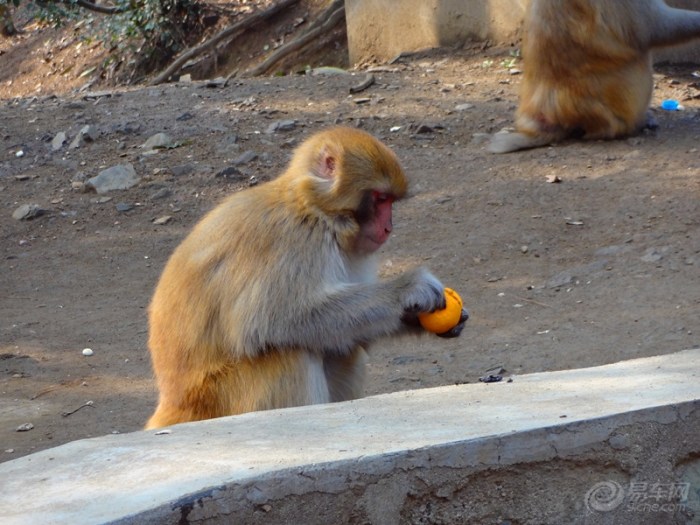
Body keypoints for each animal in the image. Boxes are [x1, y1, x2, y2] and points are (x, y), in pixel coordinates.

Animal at [145, 127, 468, 430]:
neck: (316, 210)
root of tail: (174, 404)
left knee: (343, 349)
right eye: (381, 199)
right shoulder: (291, 239)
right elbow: (274, 320)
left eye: (390, 202)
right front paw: (409, 289)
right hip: (222, 397)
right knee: (290, 353)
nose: (389, 227)